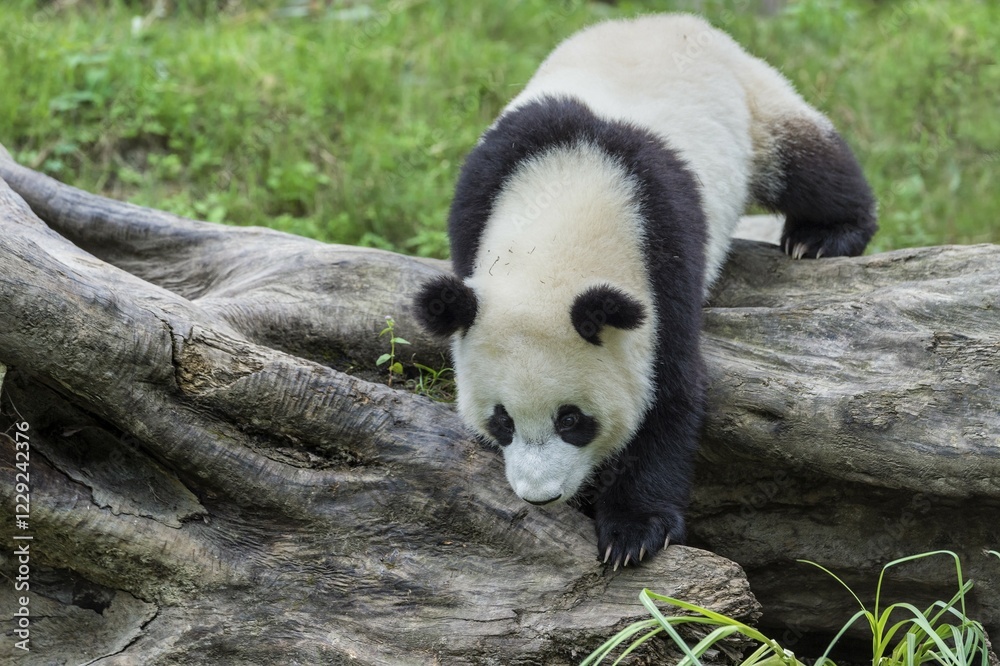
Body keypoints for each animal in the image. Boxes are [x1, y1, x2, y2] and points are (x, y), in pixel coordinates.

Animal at [413, 14, 876, 569]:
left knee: (808, 161)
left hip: (751, 100)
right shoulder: (480, 197)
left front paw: (634, 531)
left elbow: (670, 388)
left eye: (573, 420)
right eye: (502, 420)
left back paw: (823, 236)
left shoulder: (664, 251)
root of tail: (663, 19)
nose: (540, 496)